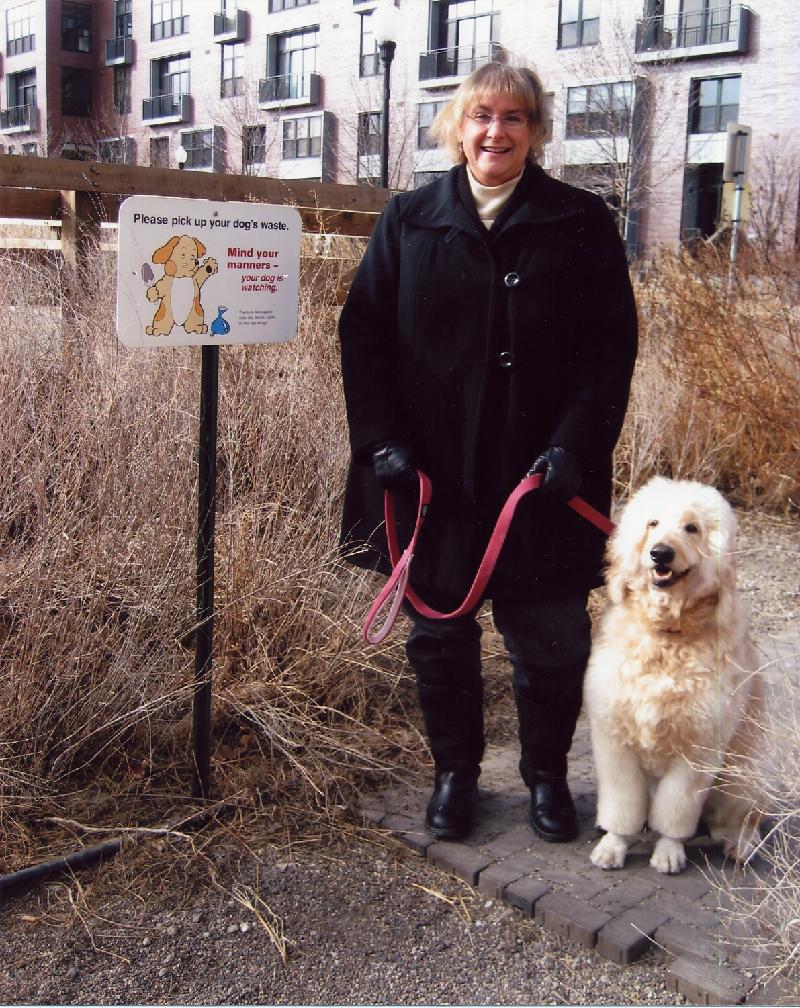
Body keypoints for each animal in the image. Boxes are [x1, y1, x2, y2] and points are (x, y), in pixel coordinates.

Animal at [584, 477, 761, 874]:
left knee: (747, 817)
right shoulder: (615, 741)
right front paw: (613, 845)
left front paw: (668, 852)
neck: (666, 637)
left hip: (741, 776)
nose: (661, 553)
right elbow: (621, 807)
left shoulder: (697, 749)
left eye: (691, 528)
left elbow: (676, 813)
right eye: (653, 523)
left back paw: (741, 845)